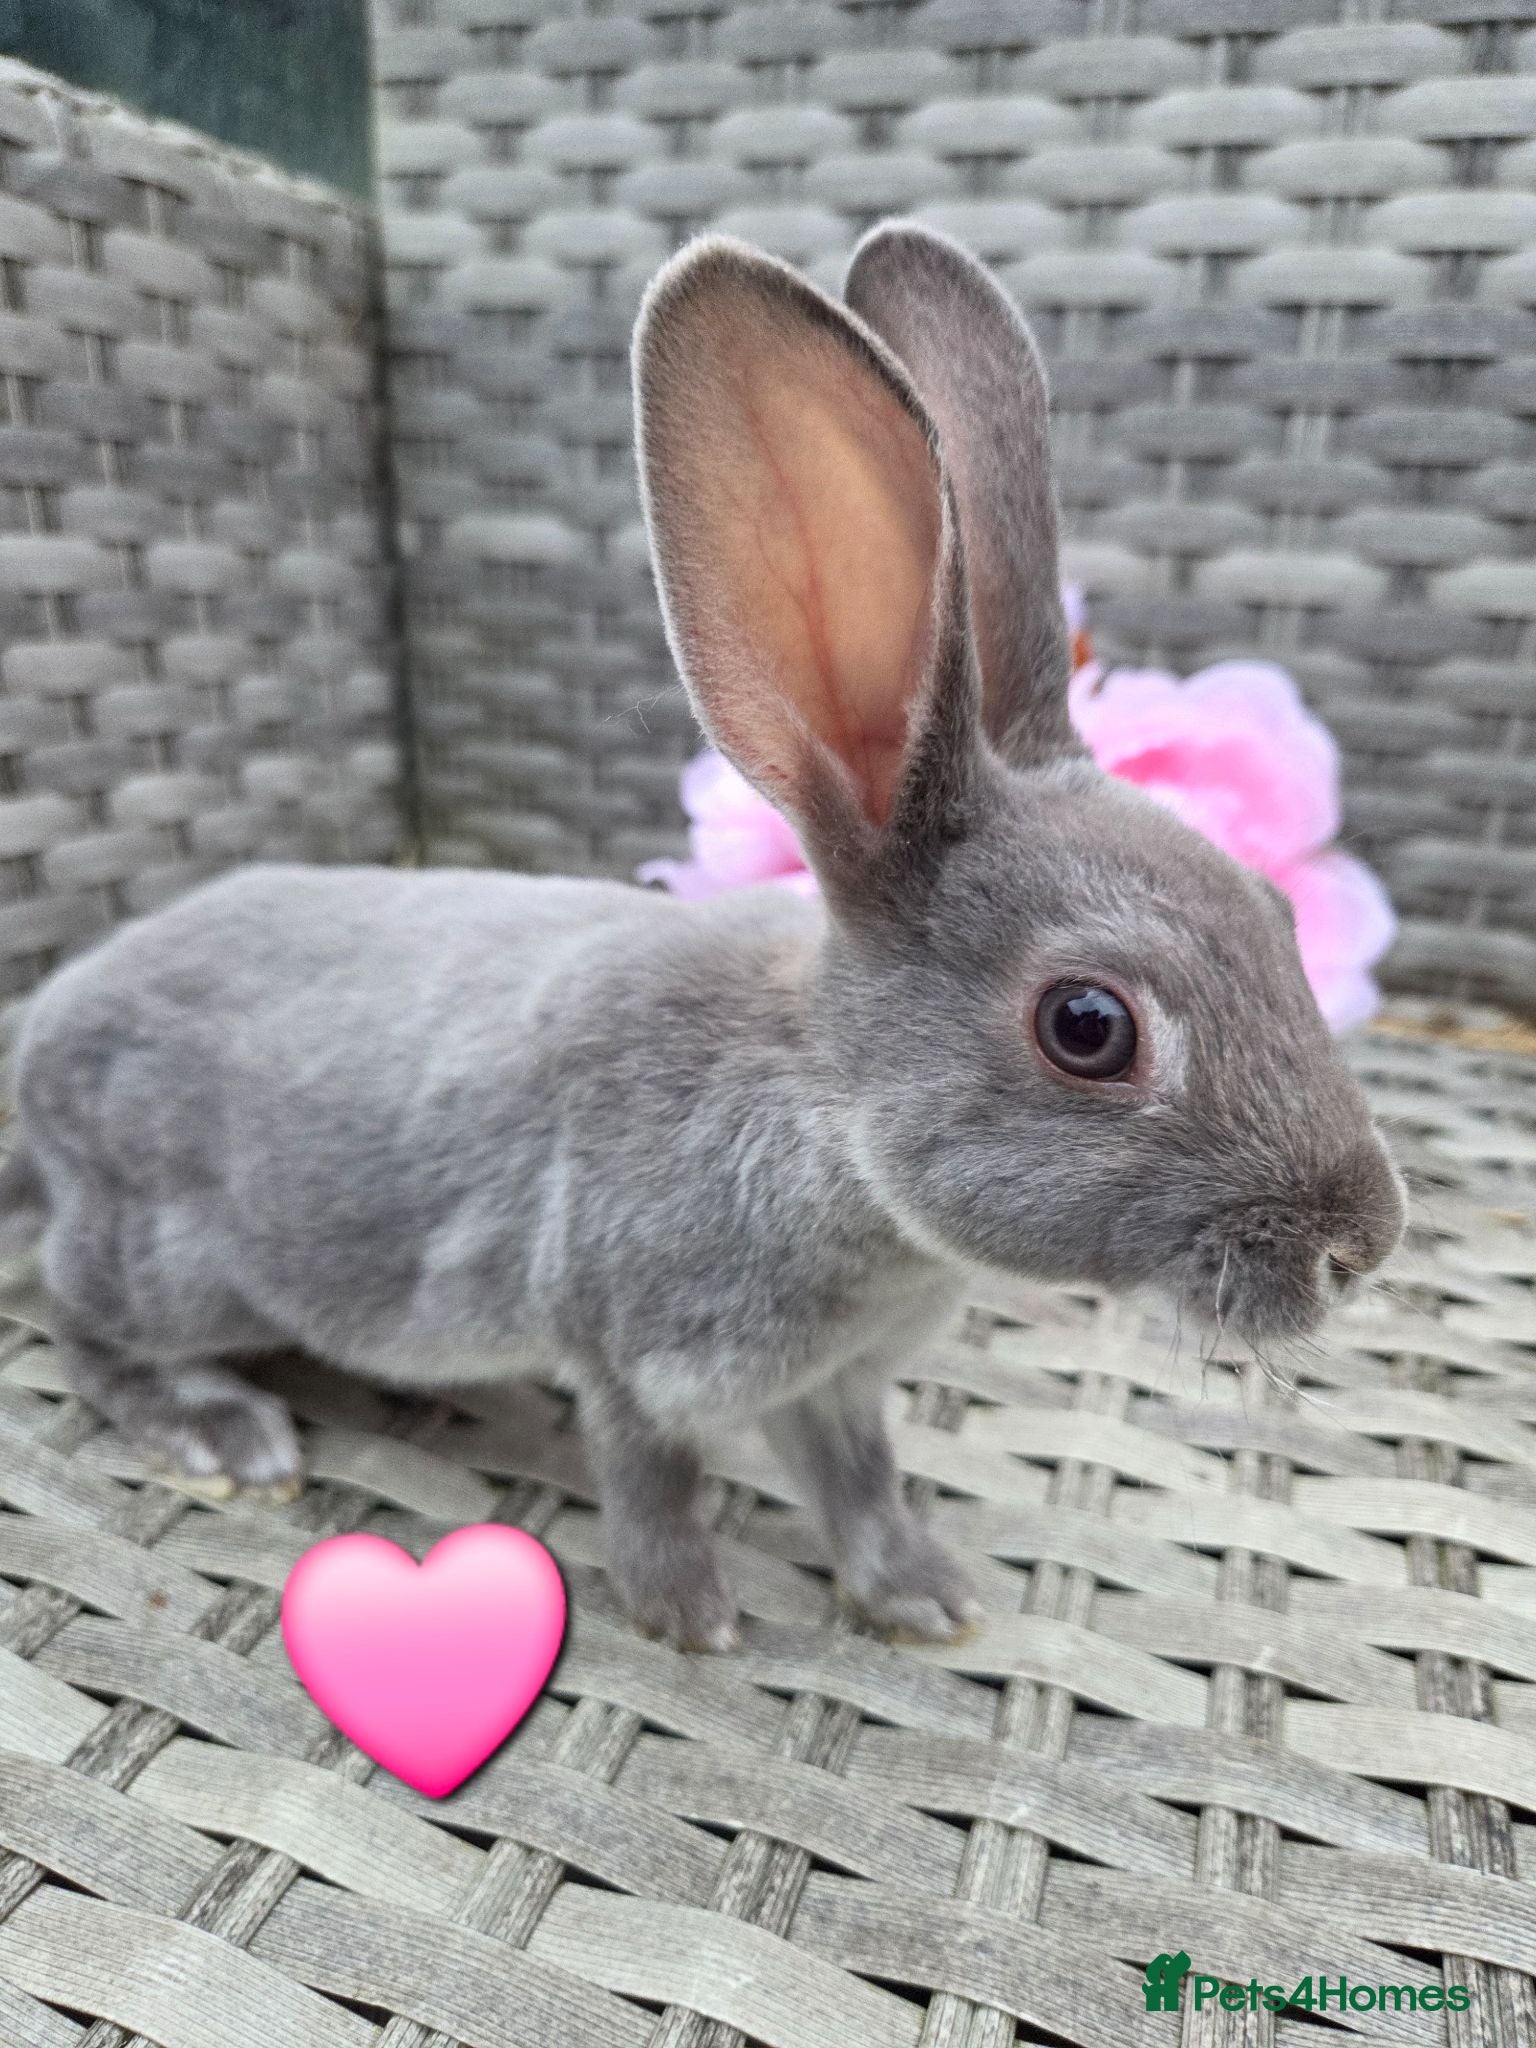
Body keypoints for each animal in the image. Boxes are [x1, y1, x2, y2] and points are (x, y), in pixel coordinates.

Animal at [0, 223, 1404, 1652]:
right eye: (1088, 1024)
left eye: (1278, 914)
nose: (1360, 1245)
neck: (826, 1114)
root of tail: (45, 1041)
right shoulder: (630, 1349)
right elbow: (650, 1471)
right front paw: (689, 1615)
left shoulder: (837, 1385)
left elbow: (862, 1479)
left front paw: (924, 1596)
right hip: (175, 1260)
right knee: (77, 1313)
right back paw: (217, 1430)